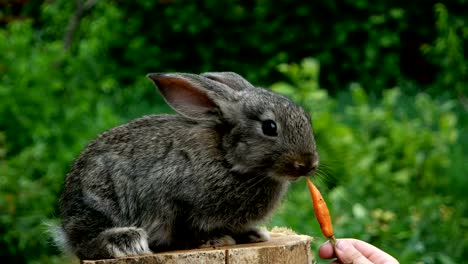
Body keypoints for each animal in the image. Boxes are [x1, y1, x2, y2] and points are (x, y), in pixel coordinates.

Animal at [54, 72, 318, 260]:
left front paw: (254, 234)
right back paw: (125, 242)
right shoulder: (173, 201)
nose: (308, 163)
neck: (228, 159)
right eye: (269, 127)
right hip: (100, 199)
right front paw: (215, 241)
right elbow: (185, 229)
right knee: (85, 243)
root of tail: (65, 224)